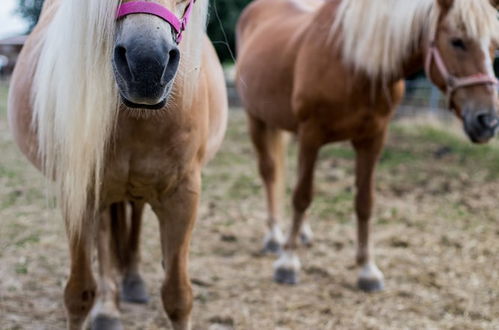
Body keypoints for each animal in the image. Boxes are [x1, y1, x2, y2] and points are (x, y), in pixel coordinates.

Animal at [7, 0, 228, 328]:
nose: (146, 66)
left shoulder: (183, 195)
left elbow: (178, 297)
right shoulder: (78, 192)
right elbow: (79, 293)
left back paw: (133, 281)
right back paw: (108, 307)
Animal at [236, 0, 499, 290]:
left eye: (494, 46)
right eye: (457, 42)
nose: (487, 121)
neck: (353, 65)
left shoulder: (372, 140)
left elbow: (365, 202)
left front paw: (367, 270)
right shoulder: (311, 135)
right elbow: (302, 196)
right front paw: (287, 263)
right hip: (256, 119)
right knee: (270, 172)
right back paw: (274, 237)